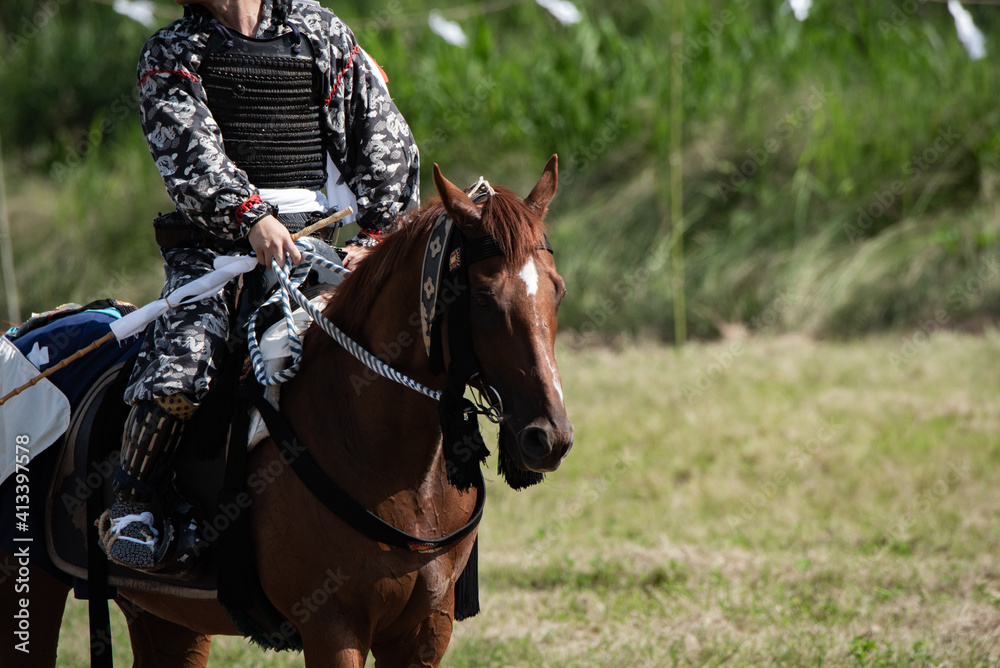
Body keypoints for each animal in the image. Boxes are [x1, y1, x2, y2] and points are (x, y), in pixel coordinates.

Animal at [0, 156, 573, 667]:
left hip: (164, 616)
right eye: (482, 297)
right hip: (29, 587)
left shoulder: (425, 631)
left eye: (558, 291)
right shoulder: (333, 629)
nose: (549, 437)